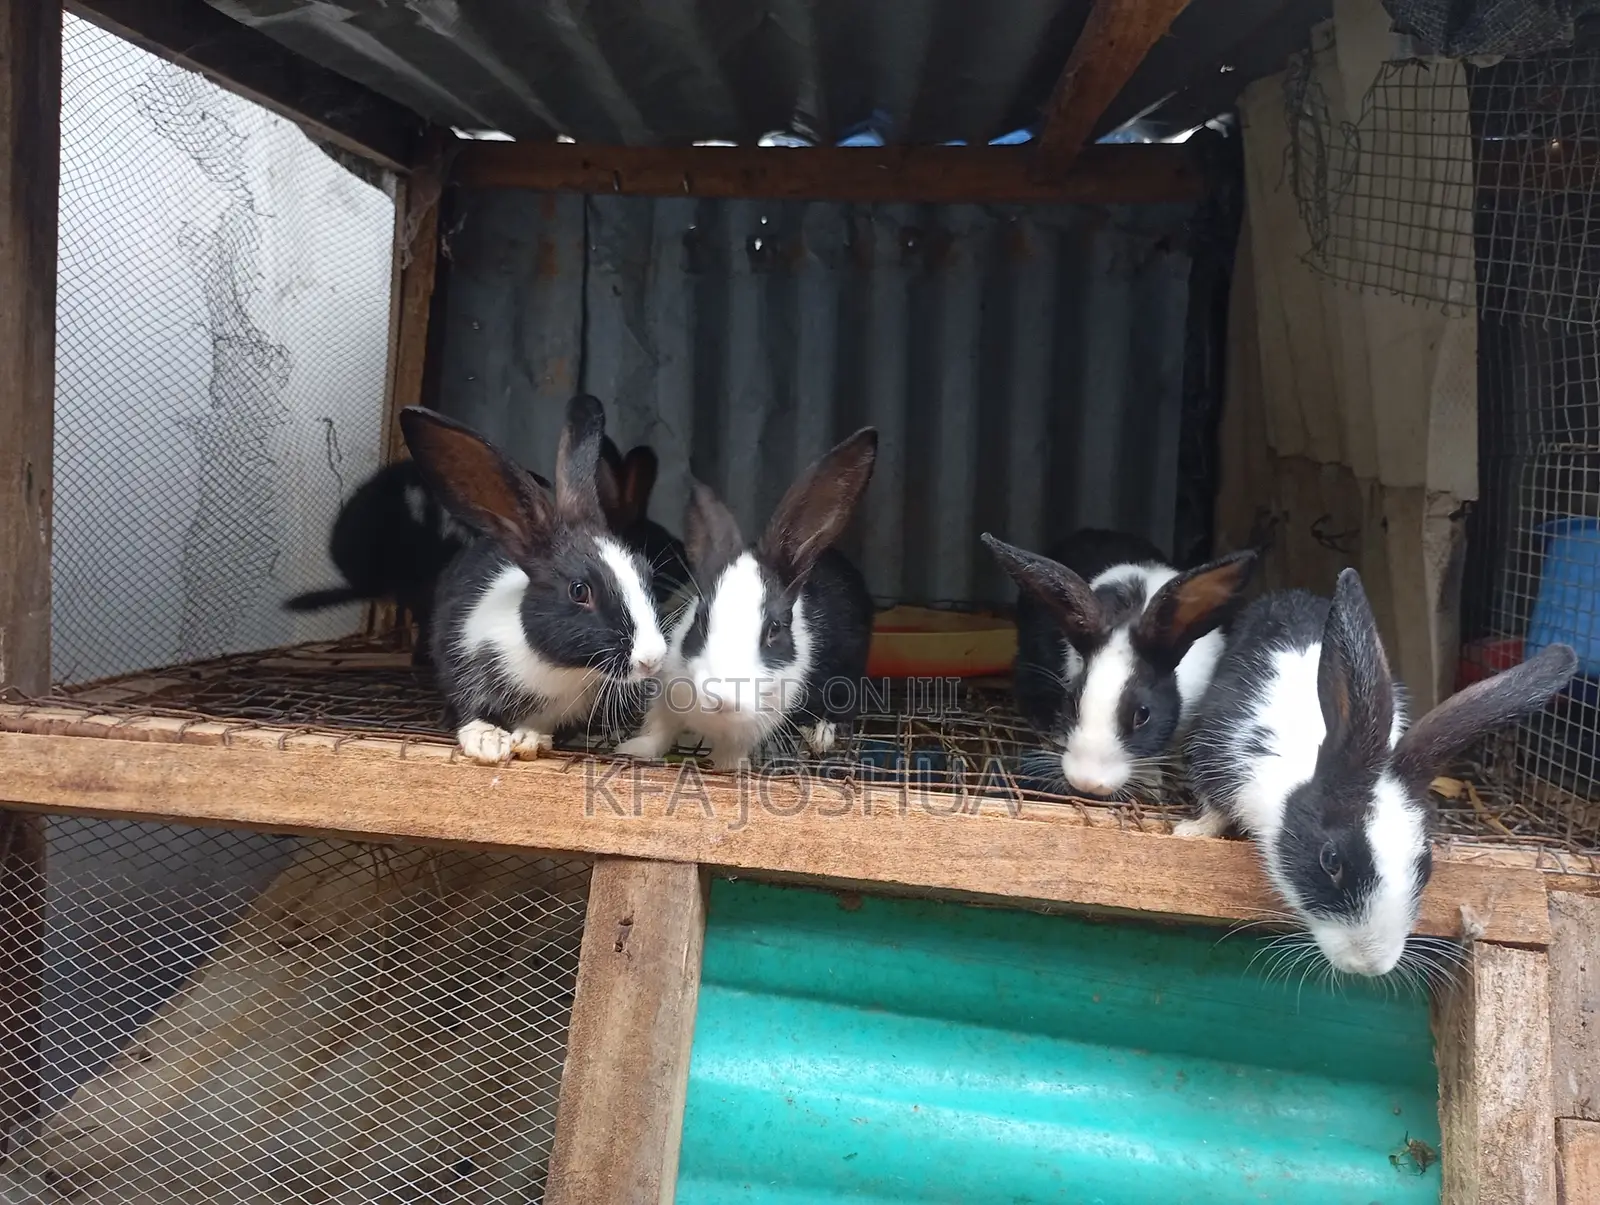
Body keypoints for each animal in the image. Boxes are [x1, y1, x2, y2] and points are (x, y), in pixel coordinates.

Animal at [399, 396, 668, 766]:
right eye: (579, 591)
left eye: (646, 574)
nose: (652, 659)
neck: (557, 667)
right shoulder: (460, 659)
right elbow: (471, 710)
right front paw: (487, 742)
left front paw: (531, 738)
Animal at [617, 428, 878, 772]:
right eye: (700, 620)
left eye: (775, 629)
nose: (722, 697)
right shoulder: (666, 694)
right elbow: (659, 729)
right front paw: (633, 750)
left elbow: (732, 749)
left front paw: (727, 766)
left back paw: (821, 734)